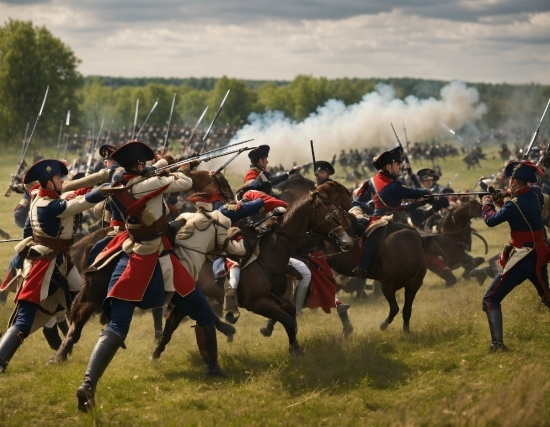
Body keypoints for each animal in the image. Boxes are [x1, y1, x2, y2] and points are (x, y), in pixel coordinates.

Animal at [153, 181, 356, 358]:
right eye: (331, 216)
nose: (347, 241)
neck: (272, 248)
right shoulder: (256, 303)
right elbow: (288, 320)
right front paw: (294, 350)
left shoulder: (277, 296)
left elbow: (291, 315)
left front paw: (294, 346)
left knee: (174, 320)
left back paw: (158, 350)